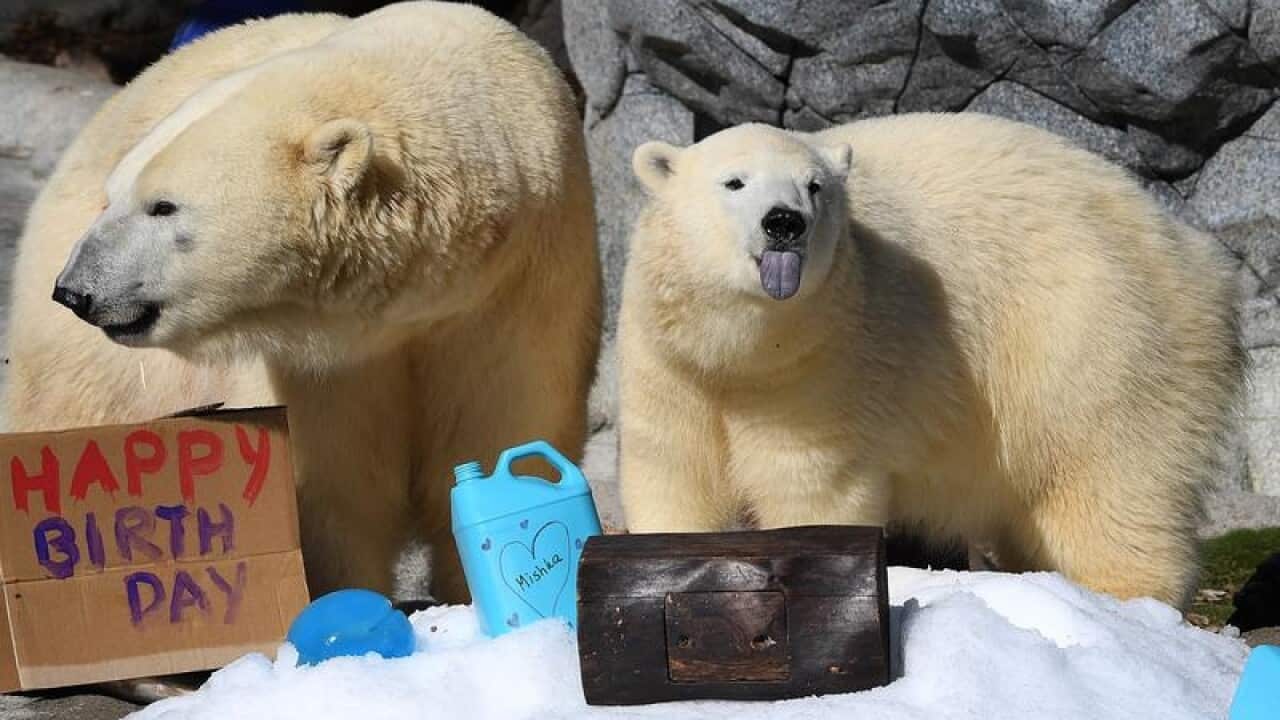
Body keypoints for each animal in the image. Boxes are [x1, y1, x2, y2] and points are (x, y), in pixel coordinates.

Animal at [4, 1, 601, 604]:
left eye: (163, 206)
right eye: (116, 197)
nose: (75, 289)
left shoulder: (515, 287)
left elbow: (501, 424)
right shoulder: (320, 358)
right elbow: (333, 489)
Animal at [617, 116, 1244, 609]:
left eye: (815, 187)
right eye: (734, 181)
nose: (784, 221)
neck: (739, 354)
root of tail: (1195, 254)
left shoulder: (828, 360)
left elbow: (808, 486)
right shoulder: (667, 363)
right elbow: (671, 469)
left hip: (1099, 339)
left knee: (1112, 483)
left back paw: (1124, 600)